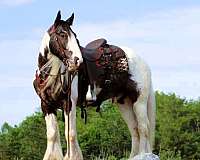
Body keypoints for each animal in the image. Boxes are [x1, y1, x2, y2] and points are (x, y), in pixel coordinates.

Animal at [33, 10, 156, 159]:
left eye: (75, 36)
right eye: (62, 34)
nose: (77, 61)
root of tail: (142, 61)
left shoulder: (69, 103)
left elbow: (70, 134)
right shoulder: (46, 106)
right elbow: (52, 135)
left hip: (140, 101)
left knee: (143, 128)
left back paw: (143, 154)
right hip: (125, 103)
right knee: (134, 130)